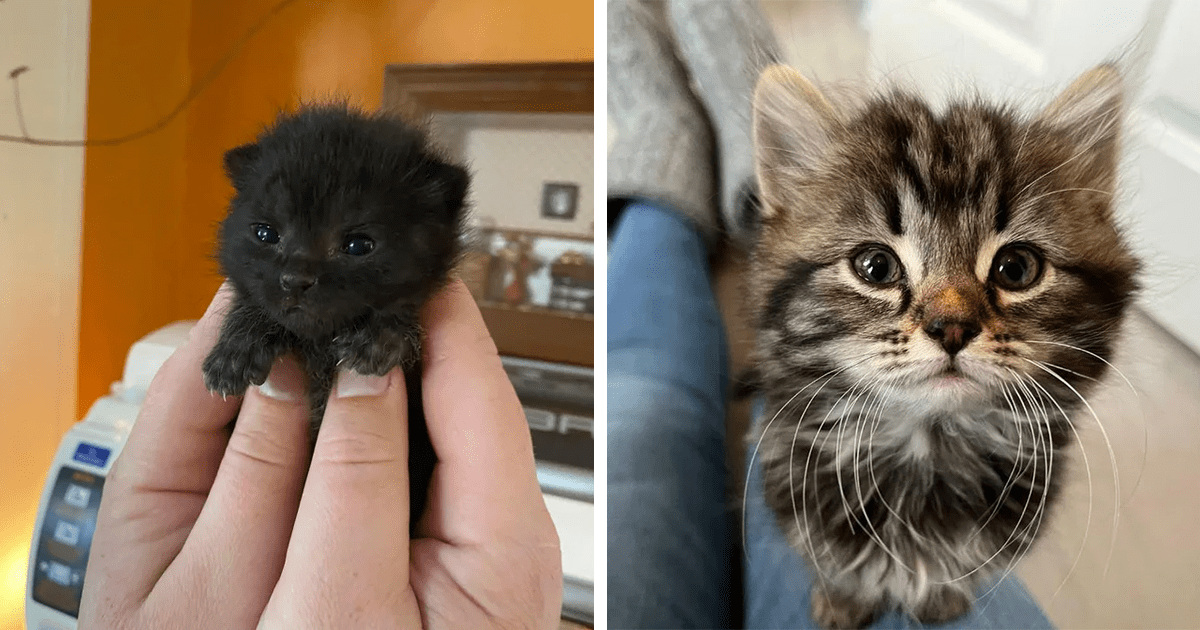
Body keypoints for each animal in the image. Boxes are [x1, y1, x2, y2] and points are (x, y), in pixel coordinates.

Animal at [199, 104, 465, 525]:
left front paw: (380, 337)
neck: (319, 343)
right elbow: (254, 305)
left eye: (358, 245)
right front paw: (235, 352)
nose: (295, 280)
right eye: (265, 234)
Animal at [744, 65, 1137, 628]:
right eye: (875, 267)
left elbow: (958, 576)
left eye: (1016, 268)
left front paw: (941, 602)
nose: (951, 328)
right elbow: (838, 567)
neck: (926, 456)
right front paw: (842, 602)